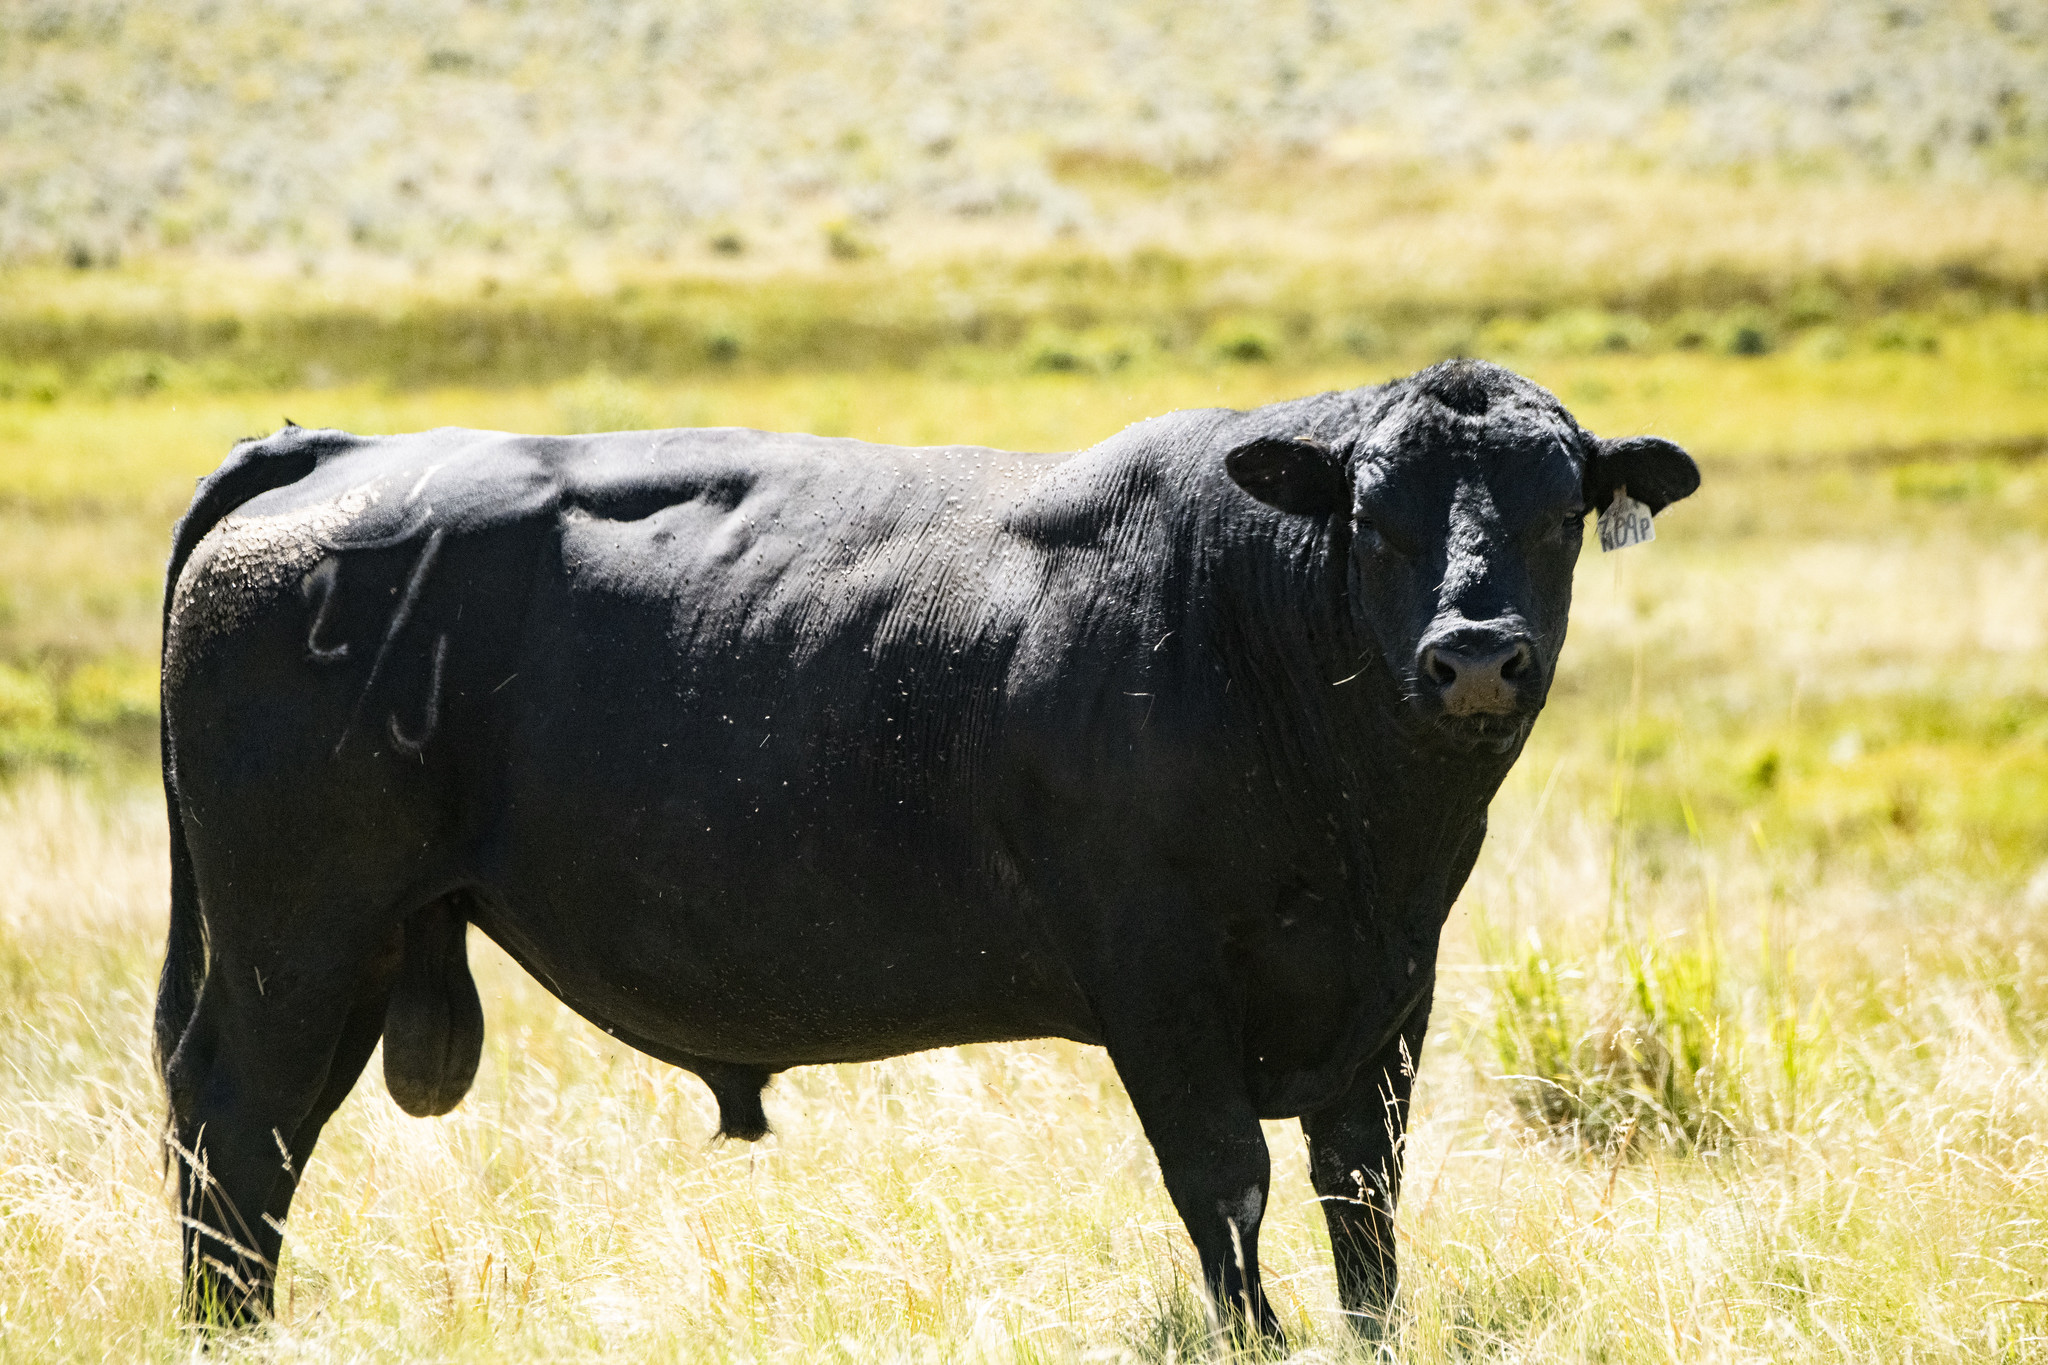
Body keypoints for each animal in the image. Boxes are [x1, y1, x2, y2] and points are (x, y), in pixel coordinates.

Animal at [155, 358, 1695, 1342]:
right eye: (1373, 518)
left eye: (1558, 511)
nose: (1476, 654)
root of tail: (340, 452)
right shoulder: (1161, 985)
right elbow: (1226, 1191)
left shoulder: (1387, 994)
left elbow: (1360, 1204)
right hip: (300, 937)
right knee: (240, 1131)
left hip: (334, 950)